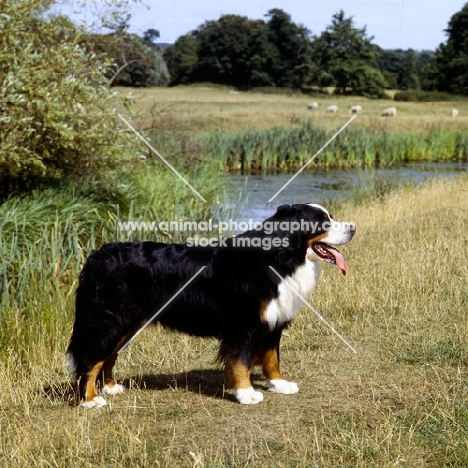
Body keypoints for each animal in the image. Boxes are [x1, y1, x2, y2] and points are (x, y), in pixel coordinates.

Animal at [66, 203, 354, 408]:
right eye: (323, 221)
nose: (353, 228)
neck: (280, 258)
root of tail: (96, 256)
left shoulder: (274, 322)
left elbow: (272, 359)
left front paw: (279, 384)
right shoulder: (244, 324)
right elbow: (241, 361)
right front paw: (246, 394)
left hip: (127, 324)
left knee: (108, 356)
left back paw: (110, 387)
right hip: (109, 321)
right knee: (91, 359)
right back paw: (91, 400)